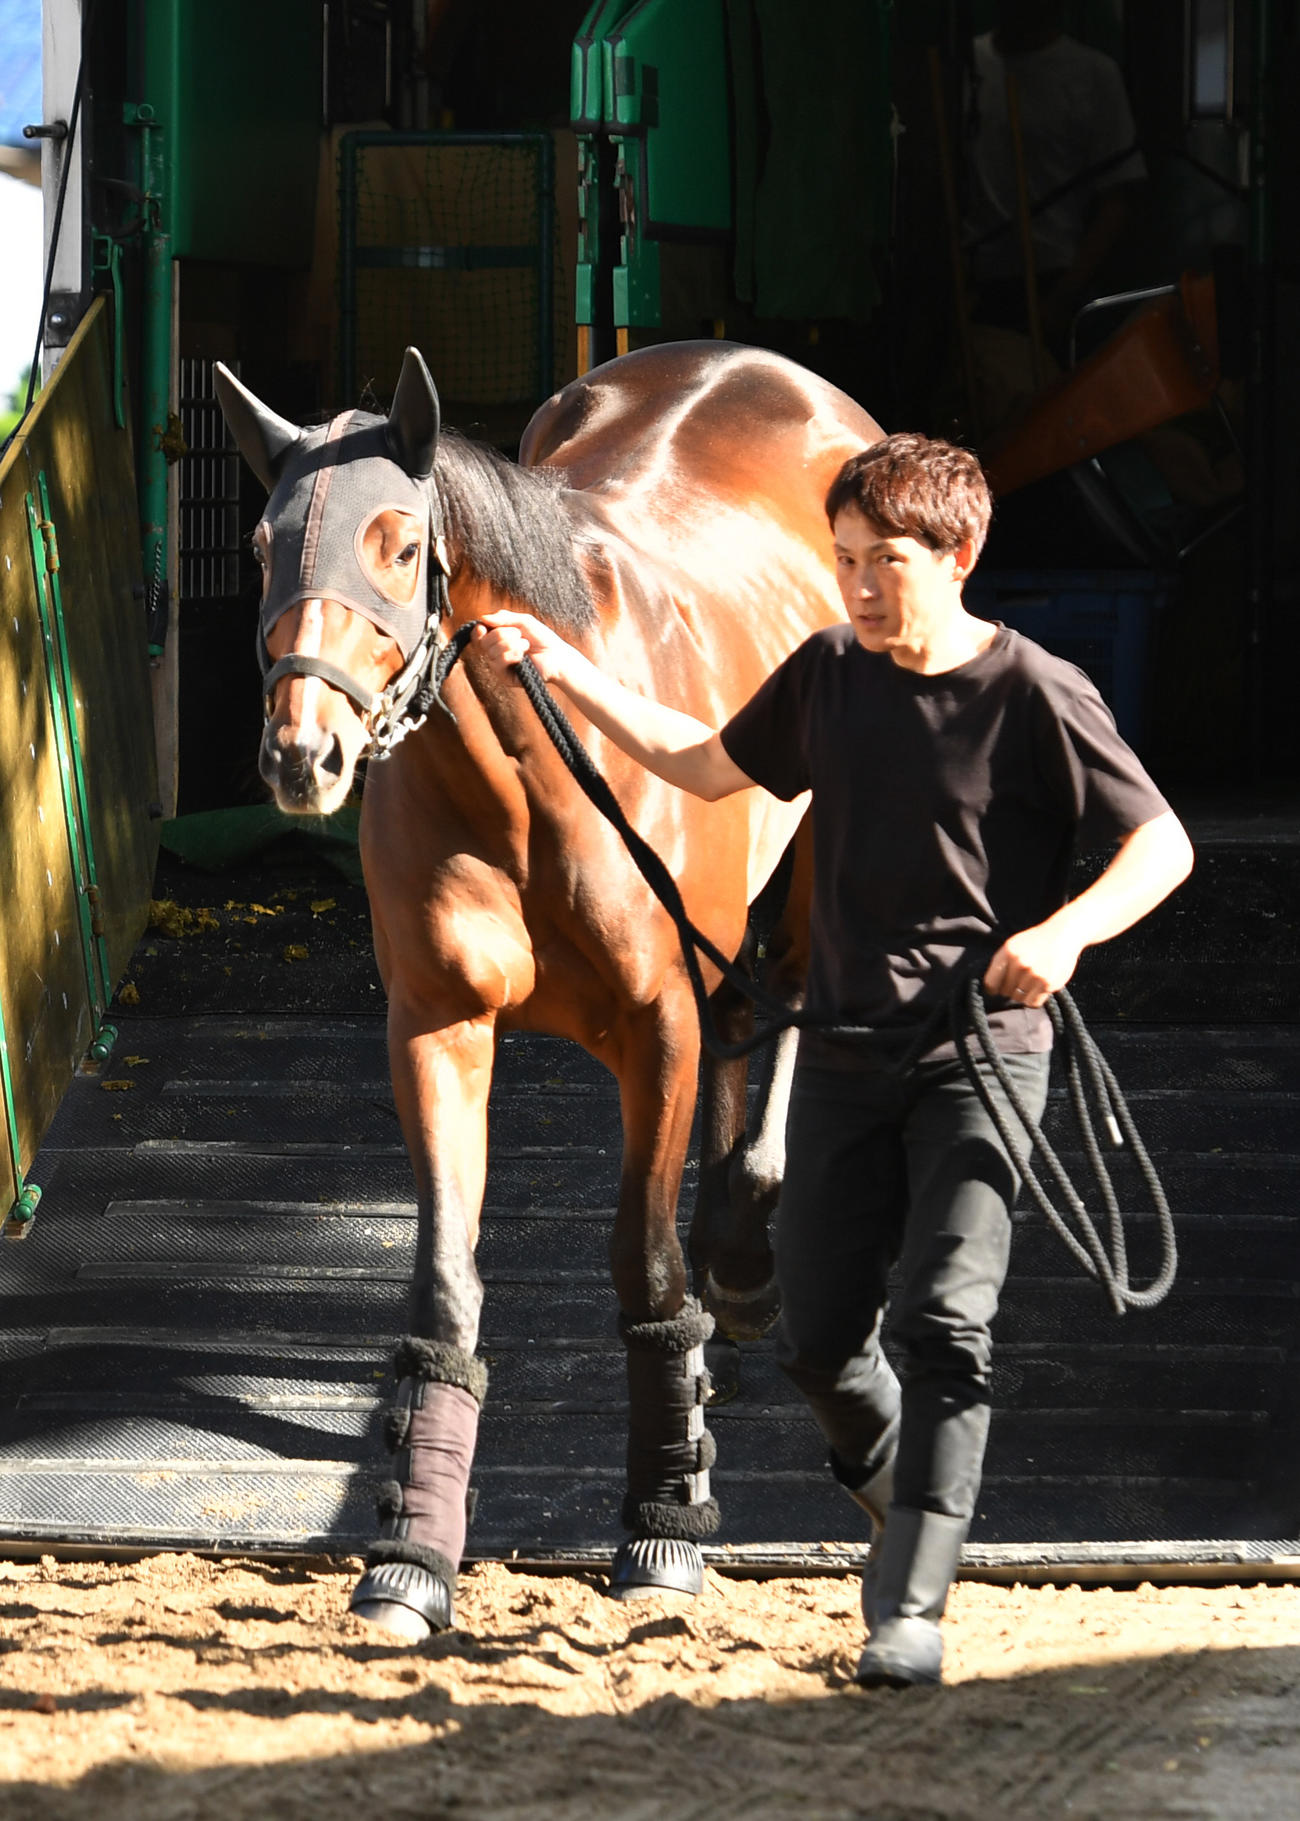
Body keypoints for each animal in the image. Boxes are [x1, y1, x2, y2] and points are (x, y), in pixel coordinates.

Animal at [214, 340, 881, 1640]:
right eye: (265, 548)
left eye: (398, 544)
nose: (302, 755)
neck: (530, 767)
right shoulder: (437, 1029)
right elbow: (444, 1286)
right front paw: (412, 1555)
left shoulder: (653, 1031)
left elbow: (645, 1265)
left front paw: (665, 1521)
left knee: (780, 994)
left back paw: (746, 1259)